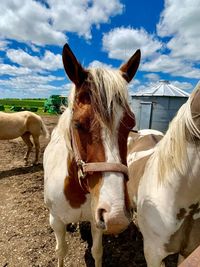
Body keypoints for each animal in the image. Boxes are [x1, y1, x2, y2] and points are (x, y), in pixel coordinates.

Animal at [43, 44, 141, 267]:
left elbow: (97, 251)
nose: (116, 217)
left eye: (131, 125)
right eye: (78, 124)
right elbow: (61, 251)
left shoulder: (98, 222)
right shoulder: (56, 221)